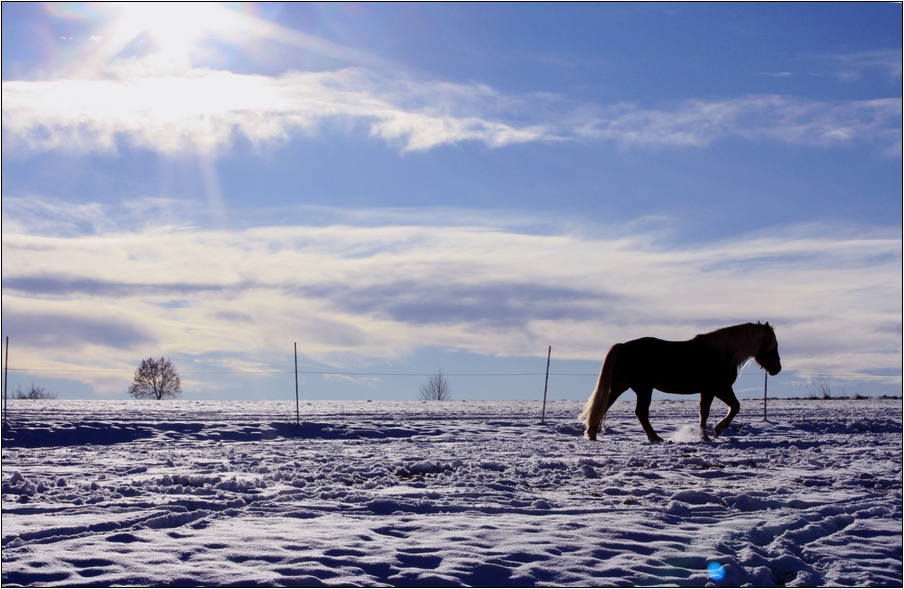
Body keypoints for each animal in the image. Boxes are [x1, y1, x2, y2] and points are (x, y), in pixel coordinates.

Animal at [580, 322, 784, 440]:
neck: (722, 354)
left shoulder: (708, 390)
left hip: (621, 387)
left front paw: (706, 436)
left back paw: (592, 434)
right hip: (643, 389)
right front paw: (717, 430)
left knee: (604, 406)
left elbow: (704, 413)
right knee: (640, 413)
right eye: (773, 345)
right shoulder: (719, 388)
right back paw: (655, 438)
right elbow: (734, 407)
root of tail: (623, 347)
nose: (777, 369)